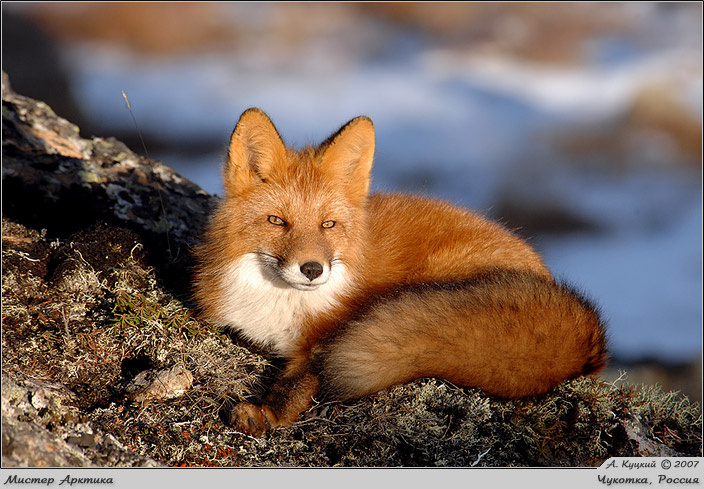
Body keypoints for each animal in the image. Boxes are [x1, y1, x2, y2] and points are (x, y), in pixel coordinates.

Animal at [193, 108, 608, 437]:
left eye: (328, 225)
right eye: (277, 221)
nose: (312, 269)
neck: (281, 305)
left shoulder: (323, 338)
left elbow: (301, 380)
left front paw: (268, 412)